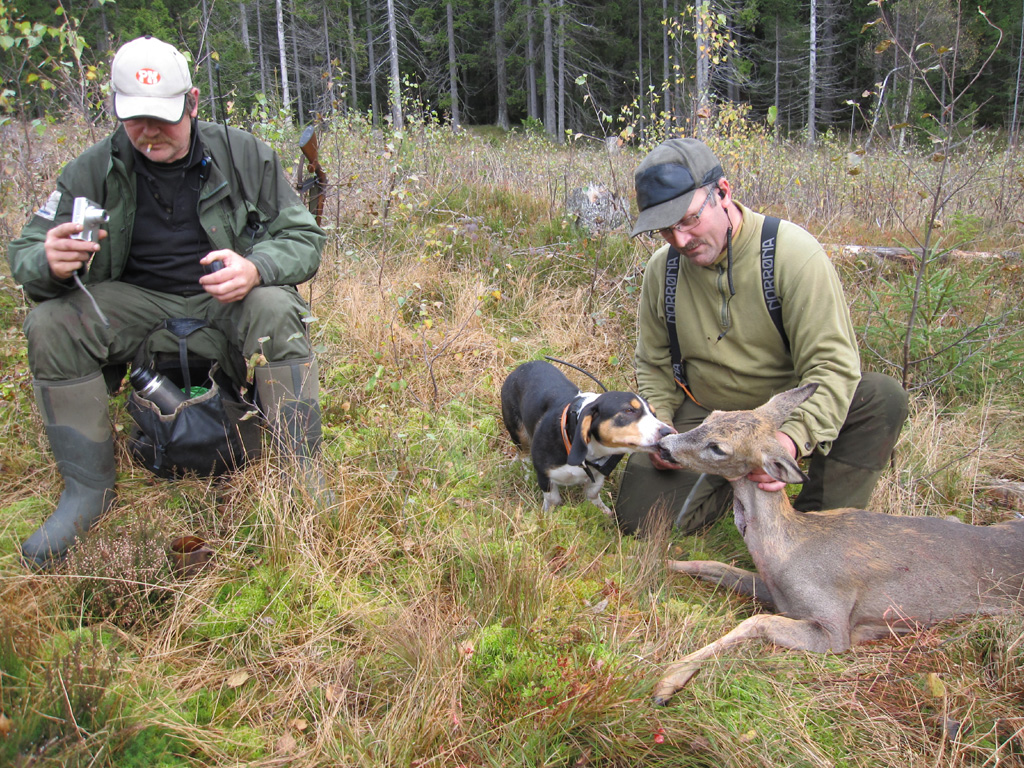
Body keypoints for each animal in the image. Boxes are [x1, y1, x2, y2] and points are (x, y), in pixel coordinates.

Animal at [499, 360, 675, 518]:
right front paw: (548, 515)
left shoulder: (598, 476)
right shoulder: (544, 475)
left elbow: (592, 493)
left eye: (654, 414)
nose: (669, 432)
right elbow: (553, 499)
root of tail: (524, 366)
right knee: (523, 454)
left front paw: (601, 510)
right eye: (629, 410)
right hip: (518, 431)